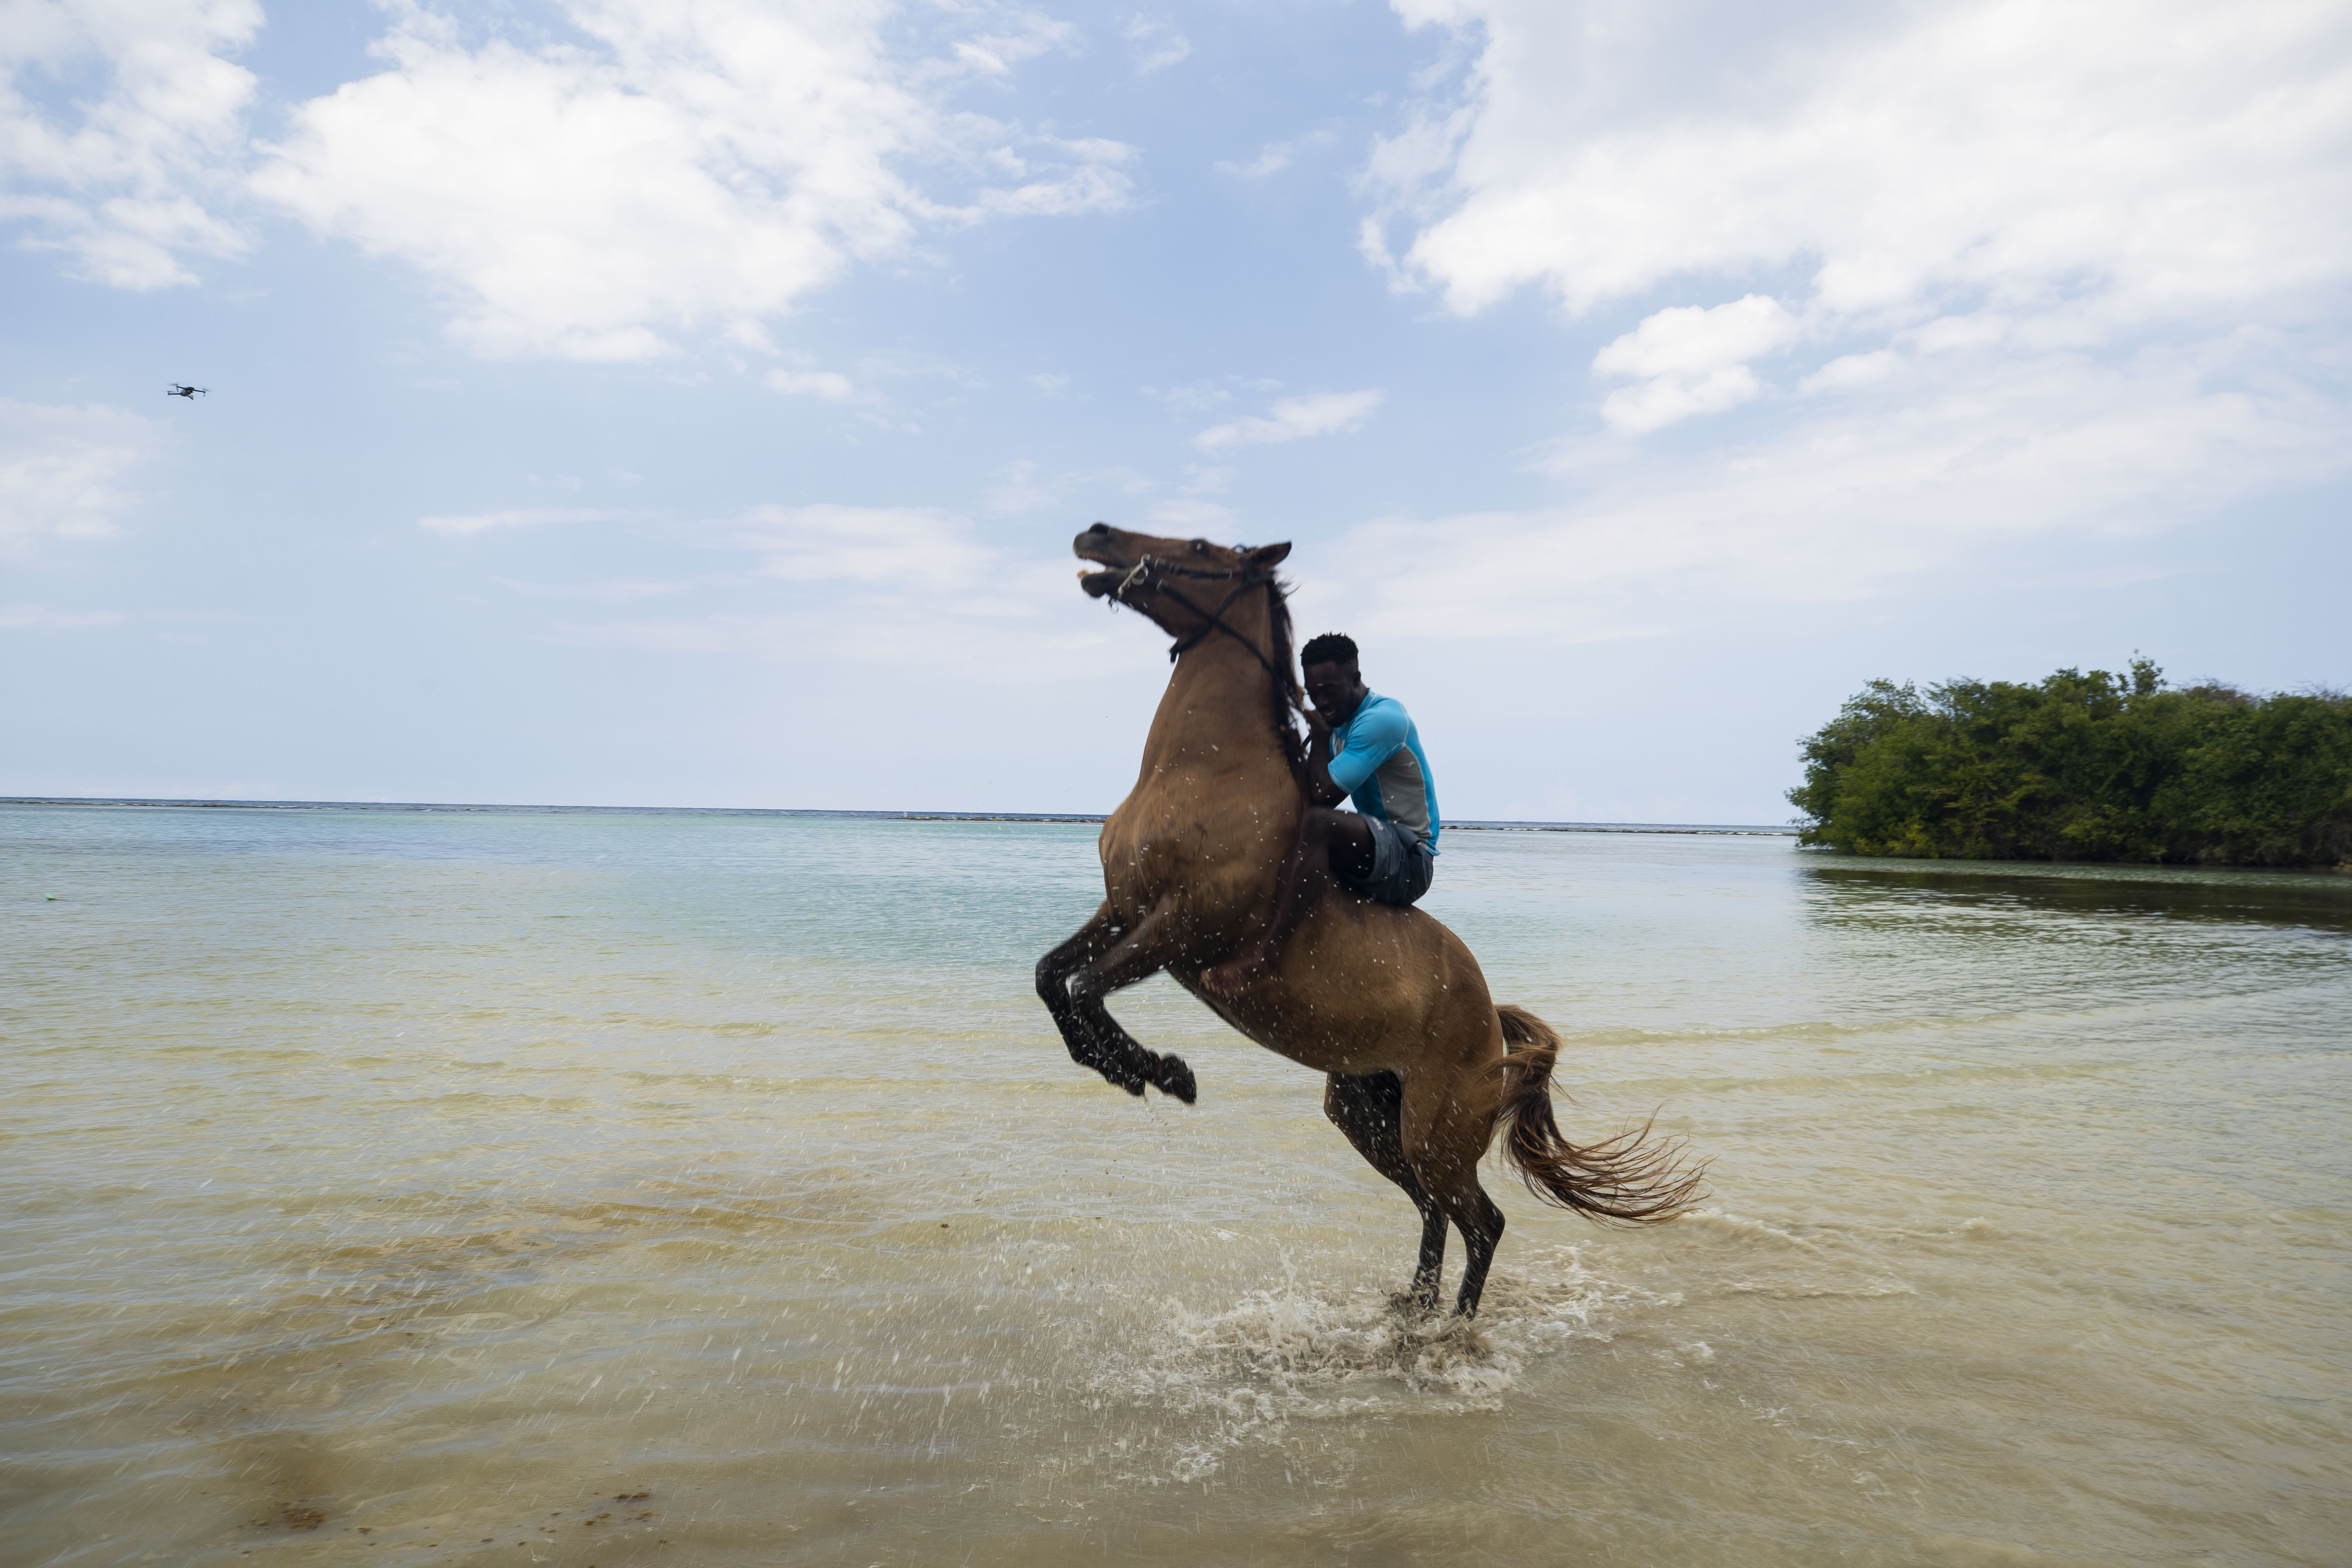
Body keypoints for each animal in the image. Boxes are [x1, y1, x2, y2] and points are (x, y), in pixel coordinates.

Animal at [1039, 522, 1703, 1316]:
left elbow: (1086, 988)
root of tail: (1492, 1023)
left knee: (1481, 1219)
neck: (1203, 770)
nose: (1096, 535)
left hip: (1435, 1131)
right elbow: (1052, 978)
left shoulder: (1184, 927)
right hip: (1367, 1114)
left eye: (1199, 546)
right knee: (1433, 1209)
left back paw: (1452, 1323)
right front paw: (1126, 1065)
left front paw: (1160, 1072)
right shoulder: (1122, 910)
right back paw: (1413, 1305)